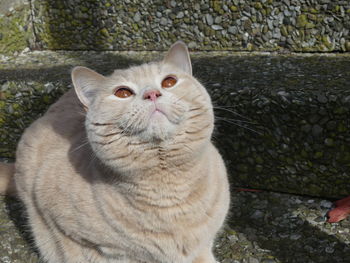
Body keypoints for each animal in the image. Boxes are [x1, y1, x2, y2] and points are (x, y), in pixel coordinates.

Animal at [0, 41, 230, 263]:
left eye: (169, 82)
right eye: (123, 93)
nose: (151, 94)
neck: (167, 187)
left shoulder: (204, 239)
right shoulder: (57, 220)